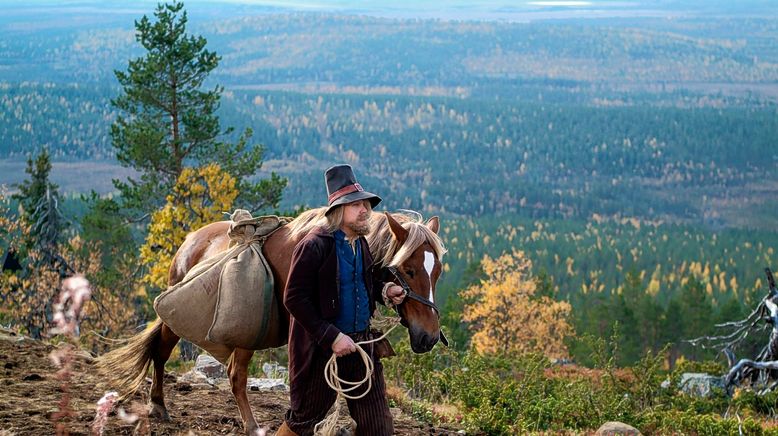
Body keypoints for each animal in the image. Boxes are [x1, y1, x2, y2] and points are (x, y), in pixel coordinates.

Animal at [96, 207, 446, 432]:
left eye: (438, 271)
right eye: (408, 270)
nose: (428, 337)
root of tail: (189, 240)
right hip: (196, 326)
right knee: (172, 355)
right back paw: (163, 405)